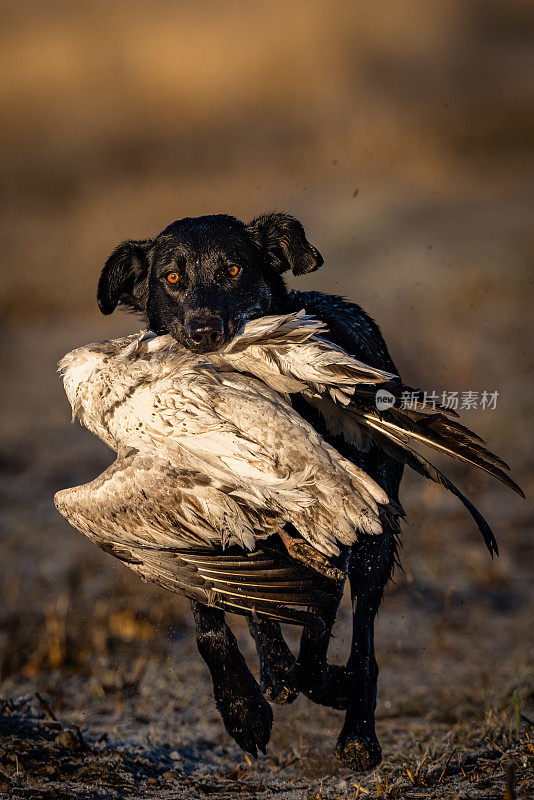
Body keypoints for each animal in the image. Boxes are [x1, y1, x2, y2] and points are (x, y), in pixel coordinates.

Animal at [98, 212, 404, 768]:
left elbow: (318, 636)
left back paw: (357, 728)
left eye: (235, 269)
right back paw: (276, 673)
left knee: (363, 635)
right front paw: (241, 707)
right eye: (171, 278)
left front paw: (329, 687)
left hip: (375, 541)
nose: (203, 332)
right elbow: (210, 624)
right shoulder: (196, 529)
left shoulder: (334, 536)